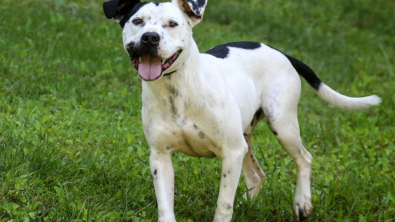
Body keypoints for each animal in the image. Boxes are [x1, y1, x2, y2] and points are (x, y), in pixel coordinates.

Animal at [102, 0, 380, 220]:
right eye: (137, 21)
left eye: (172, 24)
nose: (150, 37)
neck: (178, 91)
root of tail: (280, 52)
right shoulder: (160, 157)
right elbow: (165, 206)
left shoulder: (231, 152)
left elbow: (223, 205)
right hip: (246, 139)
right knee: (257, 176)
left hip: (281, 124)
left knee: (305, 158)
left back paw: (302, 203)